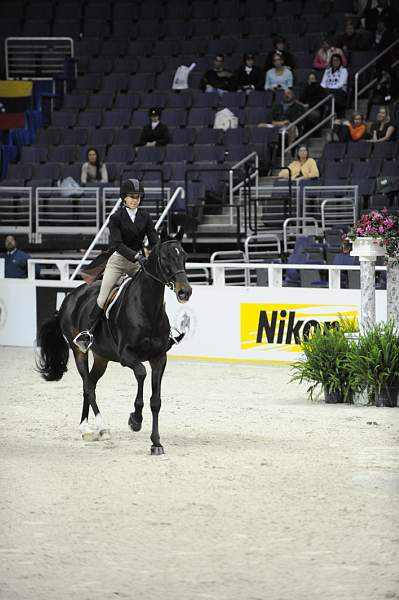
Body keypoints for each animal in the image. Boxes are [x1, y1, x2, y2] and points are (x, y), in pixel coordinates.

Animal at [36, 230, 193, 454]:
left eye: (185, 256)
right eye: (165, 258)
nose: (184, 292)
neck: (147, 308)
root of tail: (70, 298)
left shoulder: (159, 358)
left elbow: (156, 401)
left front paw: (156, 443)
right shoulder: (127, 356)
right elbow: (141, 373)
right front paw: (135, 419)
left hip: (102, 357)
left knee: (90, 384)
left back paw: (86, 428)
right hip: (79, 351)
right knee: (88, 386)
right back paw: (101, 429)